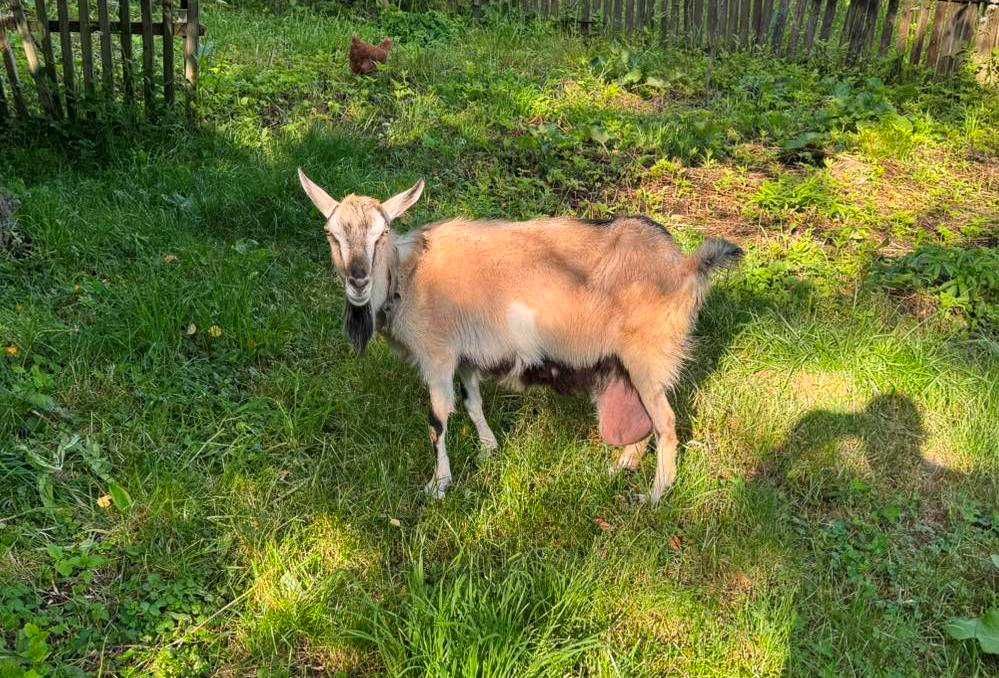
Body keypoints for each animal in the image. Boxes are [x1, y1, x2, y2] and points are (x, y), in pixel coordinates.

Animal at [298, 169, 742, 503]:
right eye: (331, 233)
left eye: (382, 233)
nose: (358, 281)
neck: (409, 277)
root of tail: (685, 266)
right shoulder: (466, 356)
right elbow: (473, 403)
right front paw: (489, 449)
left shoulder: (437, 356)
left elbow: (438, 420)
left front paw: (438, 486)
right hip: (627, 363)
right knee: (644, 421)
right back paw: (618, 468)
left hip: (648, 357)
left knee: (666, 422)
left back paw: (655, 494)